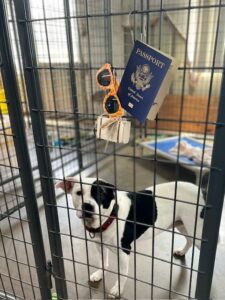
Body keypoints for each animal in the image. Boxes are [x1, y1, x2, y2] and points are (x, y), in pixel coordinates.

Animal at [55, 178, 204, 298]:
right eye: (79, 193)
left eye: (101, 194)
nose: (87, 206)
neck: (111, 217)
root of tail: (201, 190)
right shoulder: (99, 245)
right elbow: (103, 263)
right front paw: (99, 274)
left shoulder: (124, 251)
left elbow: (122, 274)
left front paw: (117, 289)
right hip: (183, 225)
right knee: (189, 240)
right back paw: (182, 251)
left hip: (196, 232)